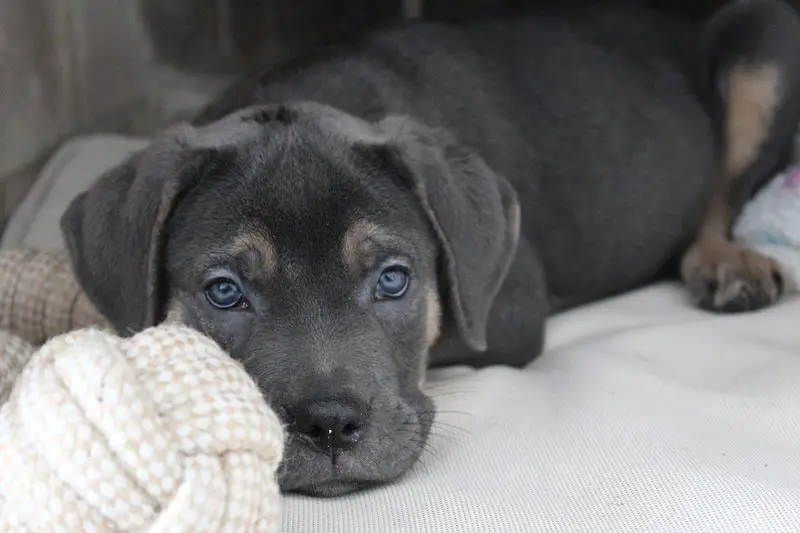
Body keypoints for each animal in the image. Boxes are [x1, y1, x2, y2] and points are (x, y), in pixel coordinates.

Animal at [59, 2, 800, 496]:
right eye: (224, 291)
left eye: (393, 280)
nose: (330, 426)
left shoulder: (505, 310)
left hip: (767, 43)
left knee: (720, 196)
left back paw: (727, 264)